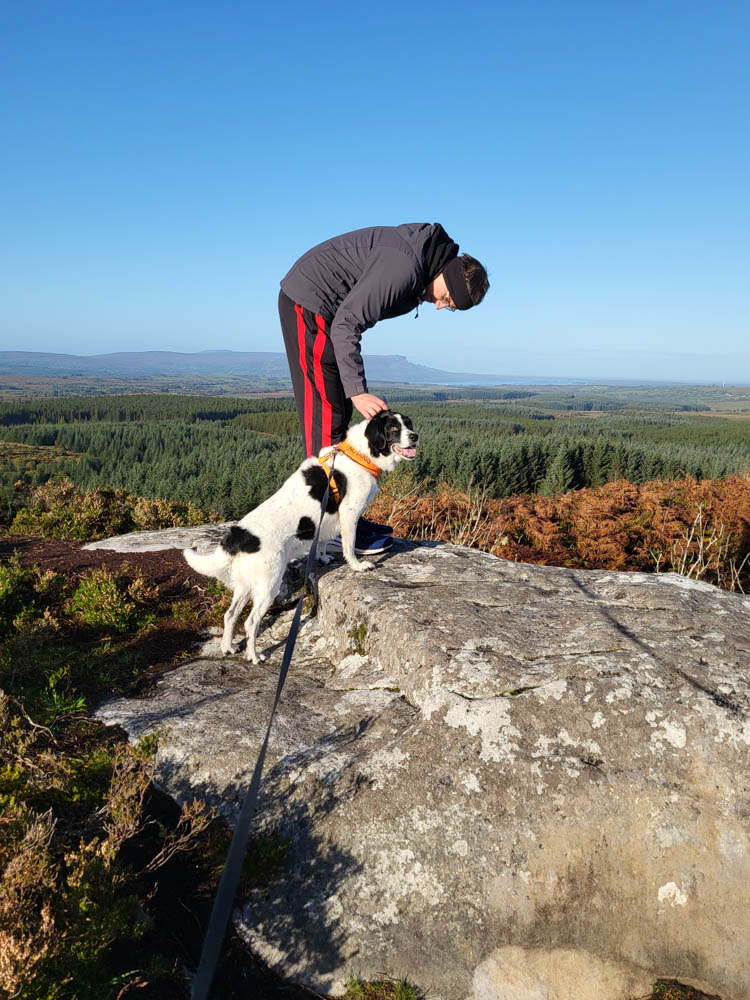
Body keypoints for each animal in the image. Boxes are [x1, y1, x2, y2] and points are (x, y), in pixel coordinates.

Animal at [182, 410, 418, 668]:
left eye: (408, 424)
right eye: (393, 428)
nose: (415, 437)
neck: (360, 455)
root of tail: (238, 535)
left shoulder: (328, 520)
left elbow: (323, 540)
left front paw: (323, 557)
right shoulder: (349, 513)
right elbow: (349, 545)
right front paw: (357, 566)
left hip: (246, 586)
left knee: (230, 614)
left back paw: (228, 647)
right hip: (269, 586)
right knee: (250, 622)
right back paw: (254, 655)